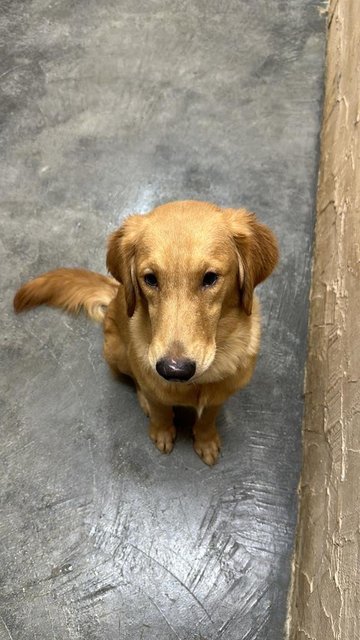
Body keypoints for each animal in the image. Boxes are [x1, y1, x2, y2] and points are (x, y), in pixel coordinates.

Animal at [13, 200, 278, 464]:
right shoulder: (152, 383)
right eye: (150, 279)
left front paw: (206, 441)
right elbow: (161, 410)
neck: (197, 384)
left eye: (210, 278)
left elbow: (207, 418)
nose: (174, 370)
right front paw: (162, 432)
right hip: (117, 352)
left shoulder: (219, 395)